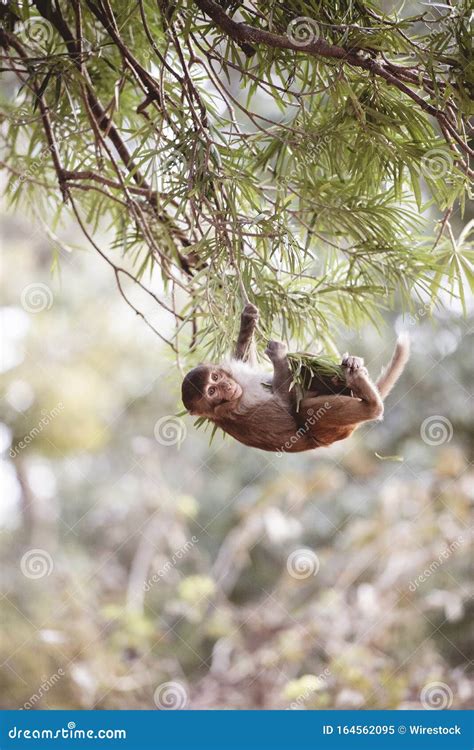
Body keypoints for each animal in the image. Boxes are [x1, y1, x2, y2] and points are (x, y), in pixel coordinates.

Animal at [181, 304, 412, 456]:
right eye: (211, 392)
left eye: (216, 378)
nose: (227, 387)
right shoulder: (237, 407)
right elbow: (287, 404)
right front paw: (278, 356)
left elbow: (246, 360)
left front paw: (247, 320)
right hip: (327, 432)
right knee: (306, 410)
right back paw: (372, 403)